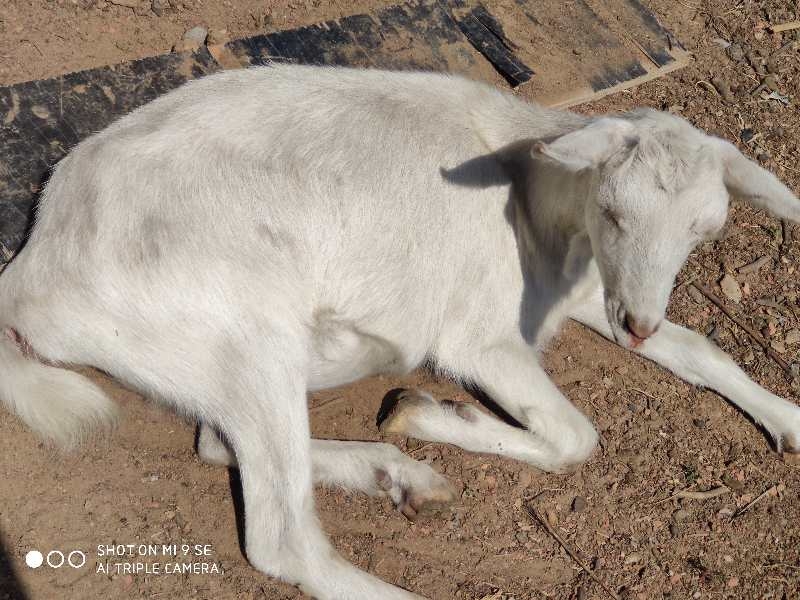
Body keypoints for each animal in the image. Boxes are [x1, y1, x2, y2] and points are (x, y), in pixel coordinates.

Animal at [1, 65, 800, 600]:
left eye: (705, 232)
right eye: (613, 211)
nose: (635, 325)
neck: (534, 200)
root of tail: (30, 272)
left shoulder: (578, 290)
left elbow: (698, 347)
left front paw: (786, 418)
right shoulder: (481, 336)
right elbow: (576, 435)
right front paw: (434, 414)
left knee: (216, 441)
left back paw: (398, 474)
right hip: (243, 330)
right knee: (282, 538)